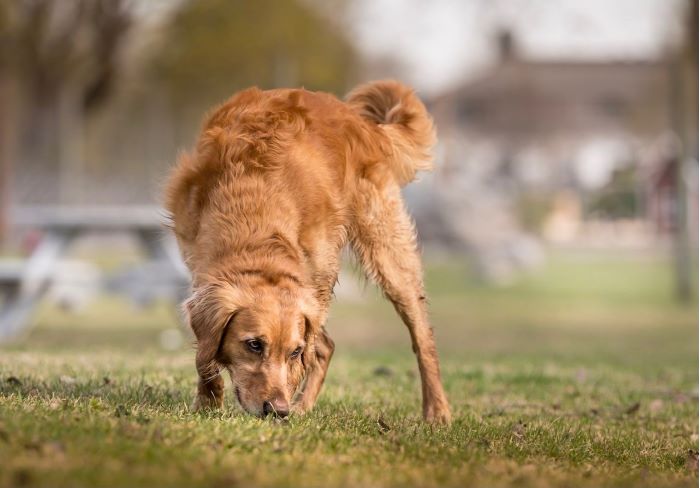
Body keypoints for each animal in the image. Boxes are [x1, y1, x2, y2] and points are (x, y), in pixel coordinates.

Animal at [164, 80, 452, 424]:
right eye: (254, 345)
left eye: (294, 351)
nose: (278, 410)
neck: (255, 207)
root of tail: (362, 122)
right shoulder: (198, 264)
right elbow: (203, 353)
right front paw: (207, 402)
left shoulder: (318, 279)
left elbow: (305, 358)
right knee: (327, 345)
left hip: (388, 255)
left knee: (422, 336)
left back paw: (437, 411)